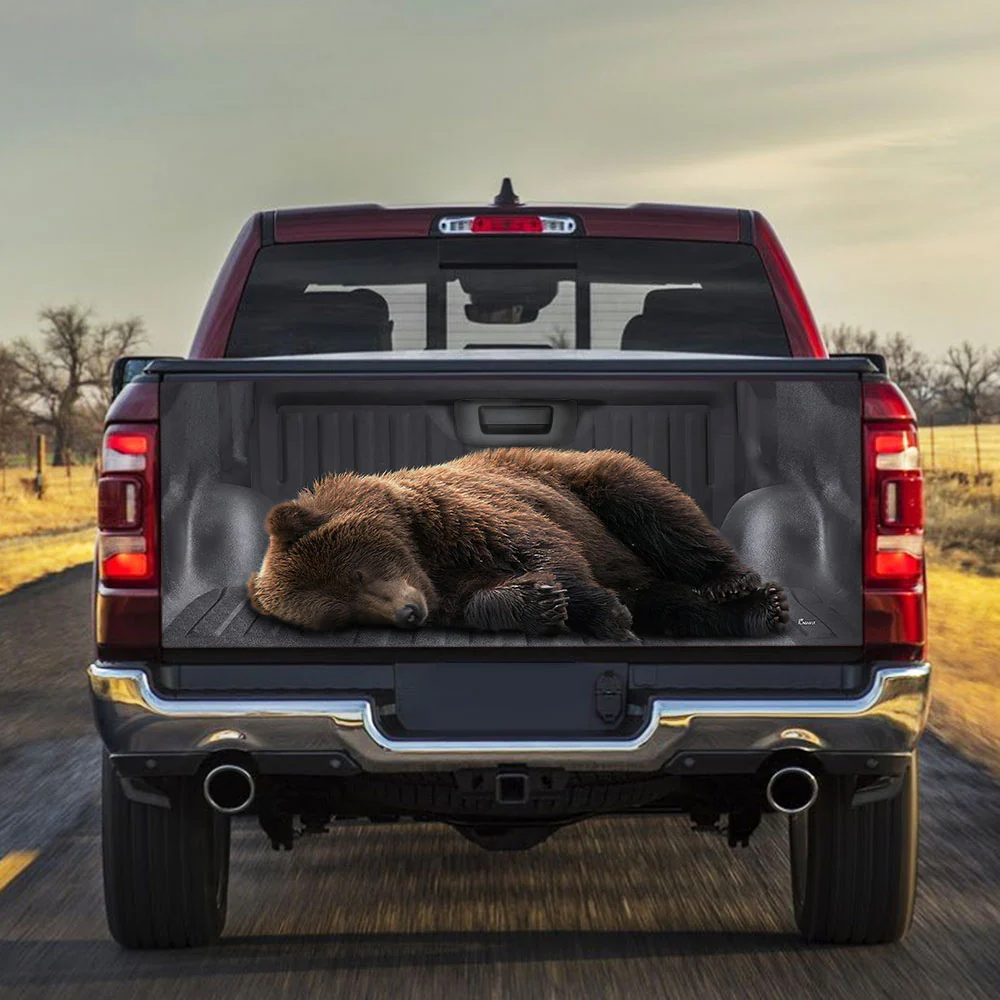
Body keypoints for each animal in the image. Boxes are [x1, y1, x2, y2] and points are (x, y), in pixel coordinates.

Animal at [247, 448, 789, 642]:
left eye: (356, 572)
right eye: (341, 616)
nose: (408, 613)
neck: (423, 554)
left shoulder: (464, 513)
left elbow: (545, 547)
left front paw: (605, 616)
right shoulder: (449, 585)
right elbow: (481, 601)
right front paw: (542, 603)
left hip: (591, 487)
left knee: (655, 509)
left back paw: (739, 586)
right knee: (667, 603)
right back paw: (755, 613)